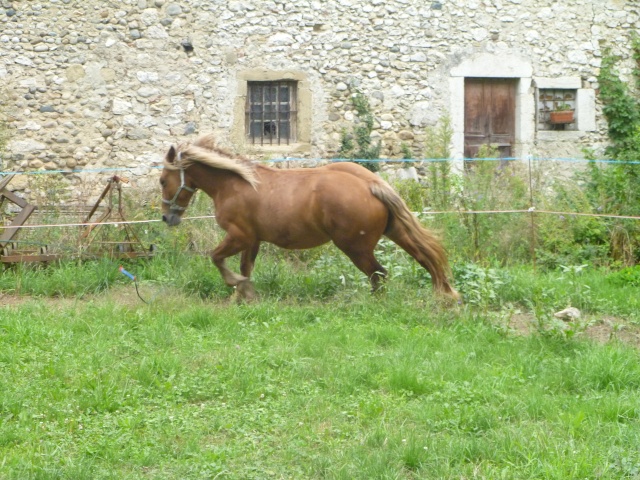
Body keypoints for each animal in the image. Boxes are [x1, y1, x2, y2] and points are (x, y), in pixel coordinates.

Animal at [160, 133, 460, 302]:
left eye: (163, 180)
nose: (166, 218)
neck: (235, 184)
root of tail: (371, 184)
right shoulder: (253, 239)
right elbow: (246, 268)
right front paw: (243, 295)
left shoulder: (239, 235)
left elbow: (217, 258)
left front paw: (238, 286)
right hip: (394, 231)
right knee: (422, 258)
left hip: (356, 248)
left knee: (380, 274)